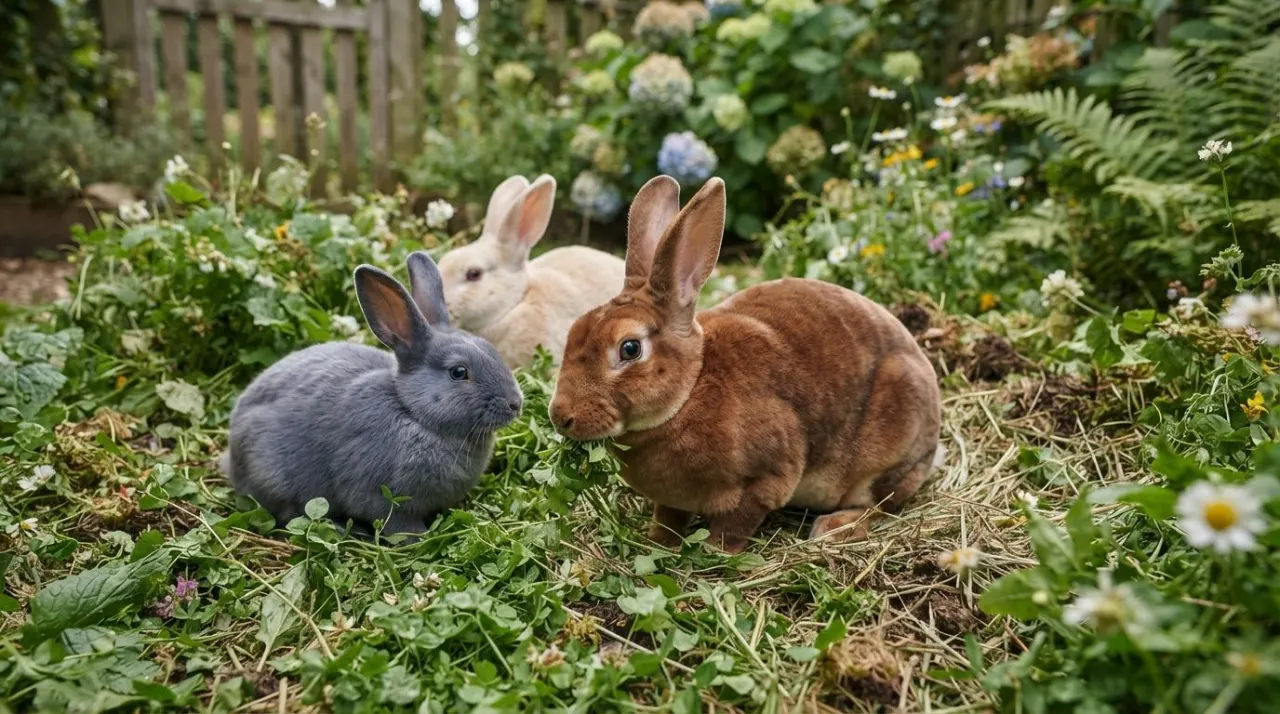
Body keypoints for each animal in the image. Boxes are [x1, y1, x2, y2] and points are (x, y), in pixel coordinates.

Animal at [220, 251, 524, 536]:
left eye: (491, 349)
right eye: (458, 372)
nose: (516, 404)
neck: (412, 412)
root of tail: (234, 456)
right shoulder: (381, 494)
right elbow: (397, 523)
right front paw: (417, 538)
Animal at [547, 176, 942, 554]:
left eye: (629, 349)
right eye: (575, 330)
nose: (560, 416)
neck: (690, 389)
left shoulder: (768, 478)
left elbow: (738, 521)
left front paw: (716, 552)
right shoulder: (673, 501)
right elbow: (669, 517)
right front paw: (658, 542)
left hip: (885, 451)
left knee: (880, 504)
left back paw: (834, 528)